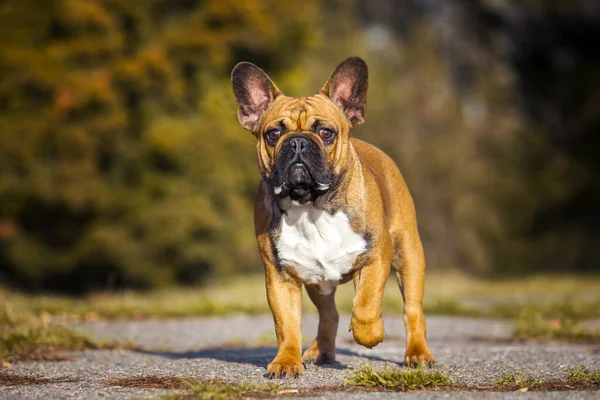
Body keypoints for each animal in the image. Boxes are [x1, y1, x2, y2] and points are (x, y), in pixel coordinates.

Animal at [232, 56, 434, 378]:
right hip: (318, 283)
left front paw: (371, 334)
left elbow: (366, 304)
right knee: (330, 313)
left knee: (412, 310)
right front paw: (286, 360)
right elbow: (286, 323)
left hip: (408, 254)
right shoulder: (279, 277)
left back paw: (418, 353)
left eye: (326, 133)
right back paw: (320, 351)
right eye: (273, 134)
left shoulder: (376, 257)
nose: (297, 142)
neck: (311, 206)